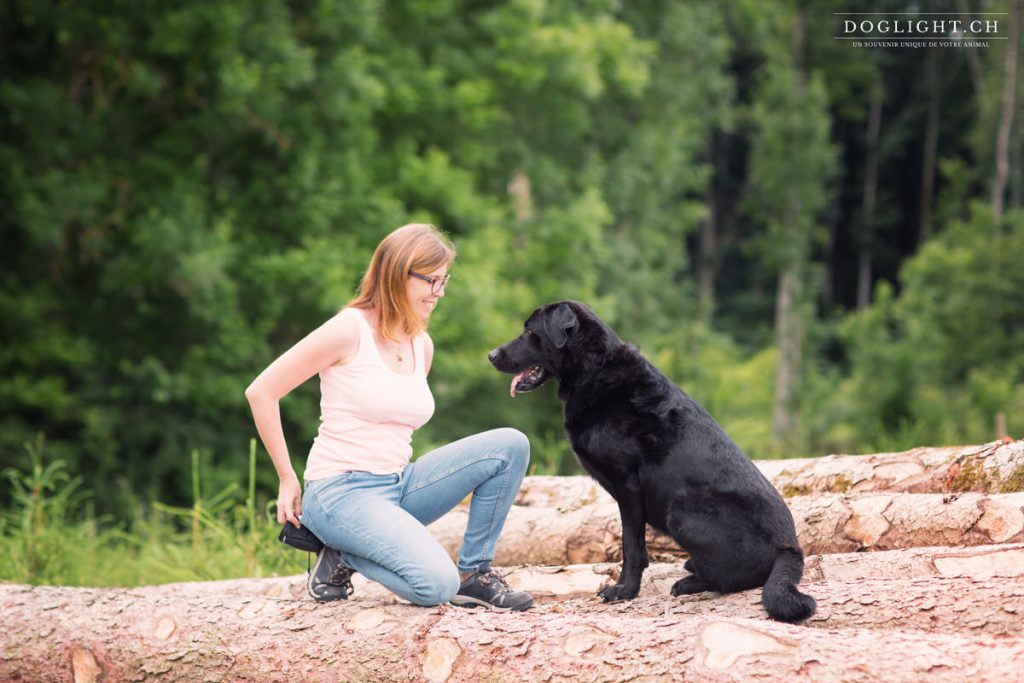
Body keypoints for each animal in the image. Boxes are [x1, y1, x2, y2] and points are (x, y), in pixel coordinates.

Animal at [487, 301, 815, 622]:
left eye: (530, 332)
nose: (491, 355)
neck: (594, 369)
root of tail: (789, 547)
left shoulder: (628, 485)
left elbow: (631, 547)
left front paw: (625, 591)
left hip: (683, 511)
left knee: (733, 579)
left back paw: (689, 582)